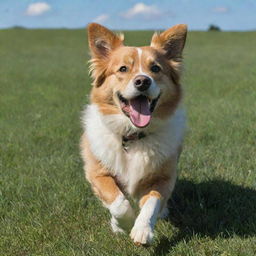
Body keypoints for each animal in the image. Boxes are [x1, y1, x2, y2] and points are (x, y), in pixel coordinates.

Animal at [81, 23, 187, 245]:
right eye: (123, 69)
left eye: (155, 68)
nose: (142, 81)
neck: (132, 136)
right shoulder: (97, 173)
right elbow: (119, 203)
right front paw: (122, 224)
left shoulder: (163, 176)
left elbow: (152, 203)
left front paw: (142, 230)